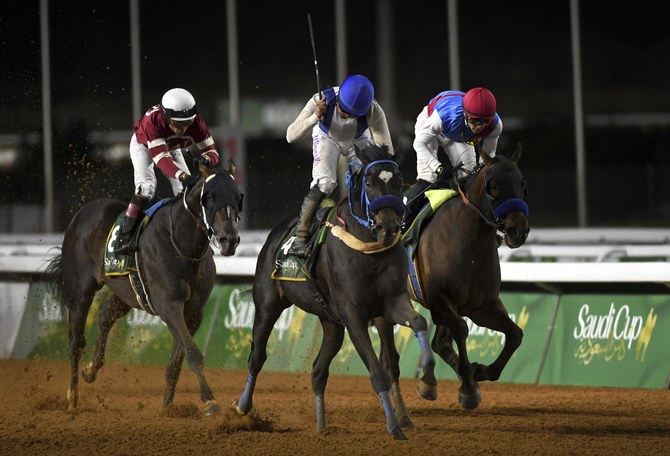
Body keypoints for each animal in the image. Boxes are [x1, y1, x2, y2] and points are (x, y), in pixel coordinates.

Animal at [42, 160, 242, 416]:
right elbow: (193, 353)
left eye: (238, 197)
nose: (229, 240)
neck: (182, 244)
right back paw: (73, 397)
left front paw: (168, 407)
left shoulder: (194, 311)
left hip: (126, 292)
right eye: (209, 197)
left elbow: (177, 360)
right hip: (80, 290)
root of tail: (82, 213)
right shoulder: (169, 306)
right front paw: (210, 401)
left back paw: (91, 369)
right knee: (76, 342)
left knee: (106, 315)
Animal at [234, 144, 438, 440]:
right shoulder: (354, 316)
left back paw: (321, 427)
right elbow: (377, 372)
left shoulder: (391, 303)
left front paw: (428, 379)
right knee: (257, 356)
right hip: (267, 305)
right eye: (369, 182)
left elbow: (420, 322)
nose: (388, 226)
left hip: (331, 323)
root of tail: (276, 233)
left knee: (318, 371)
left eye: (398, 180)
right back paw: (242, 406)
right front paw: (394, 427)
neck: (368, 250)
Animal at [404, 145, 532, 410]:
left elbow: (515, 334)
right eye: (493, 186)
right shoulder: (440, 302)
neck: (467, 242)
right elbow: (462, 330)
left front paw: (479, 372)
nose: (518, 231)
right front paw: (468, 389)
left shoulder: (481, 305)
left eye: (522, 184)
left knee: (439, 342)